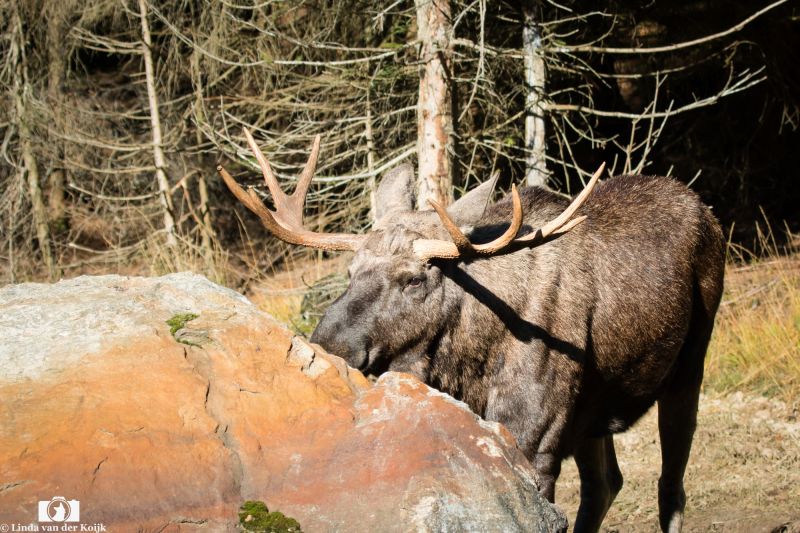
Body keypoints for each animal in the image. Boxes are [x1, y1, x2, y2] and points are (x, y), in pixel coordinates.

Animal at [218, 129, 725, 533]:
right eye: (350, 270)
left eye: (415, 279)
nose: (330, 343)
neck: (466, 359)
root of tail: (709, 213)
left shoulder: (533, 437)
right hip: (594, 407)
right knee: (605, 484)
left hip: (689, 367)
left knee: (670, 485)